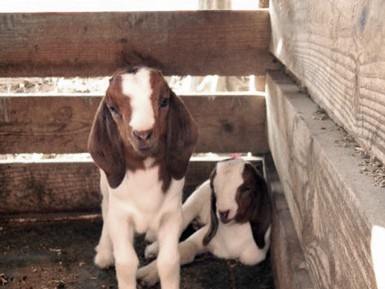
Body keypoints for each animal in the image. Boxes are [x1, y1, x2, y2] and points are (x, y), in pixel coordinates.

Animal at [87, 66, 198, 288]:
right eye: (113, 108)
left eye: (164, 101)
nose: (143, 134)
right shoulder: (120, 216)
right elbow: (126, 263)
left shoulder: (172, 214)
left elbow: (169, 261)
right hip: (106, 184)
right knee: (105, 207)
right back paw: (104, 254)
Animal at [136, 158, 272, 286]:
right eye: (214, 188)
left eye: (246, 188)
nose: (223, 213)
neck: (232, 230)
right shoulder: (207, 233)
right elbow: (186, 247)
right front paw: (146, 274)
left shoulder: (255, 253)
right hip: (197, 197)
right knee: (183, 216)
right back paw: (153, 246)